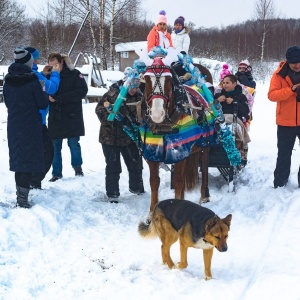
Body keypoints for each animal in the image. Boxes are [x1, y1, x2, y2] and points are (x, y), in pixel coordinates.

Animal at [137, 52, 218, 216]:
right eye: (146, 79)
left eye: (168, 80)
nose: (157, 114)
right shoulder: (152, 153)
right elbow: (154, 181)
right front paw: (151, 214)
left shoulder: (180, 153)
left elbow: (179, 181)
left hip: (205, 145)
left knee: (205, 168)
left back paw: (204, 195)